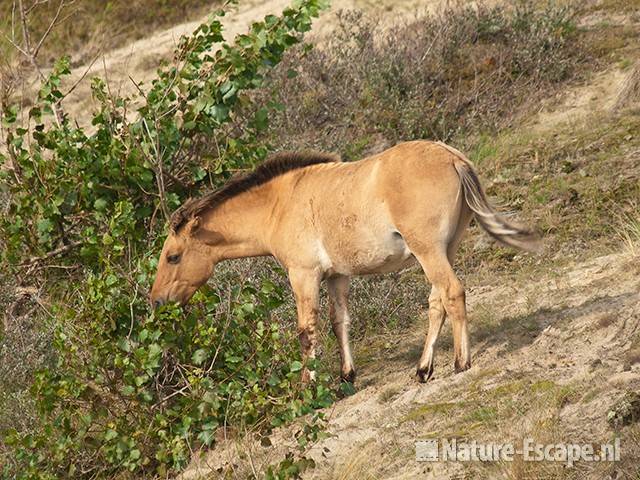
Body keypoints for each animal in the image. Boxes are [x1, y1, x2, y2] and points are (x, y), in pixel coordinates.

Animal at [150, 139, 540, 382]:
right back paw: (423, 369)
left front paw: (307, 389)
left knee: (452, 293)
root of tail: (452, 158)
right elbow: (340, 323)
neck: (279, 204)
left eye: (173, 256)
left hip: (429, 251)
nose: (157, 301)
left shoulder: (303, 275)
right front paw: (346, 376)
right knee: (436, 302)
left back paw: (461, 362)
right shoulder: (337, 277)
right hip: (444, 250)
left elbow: (306, 331)